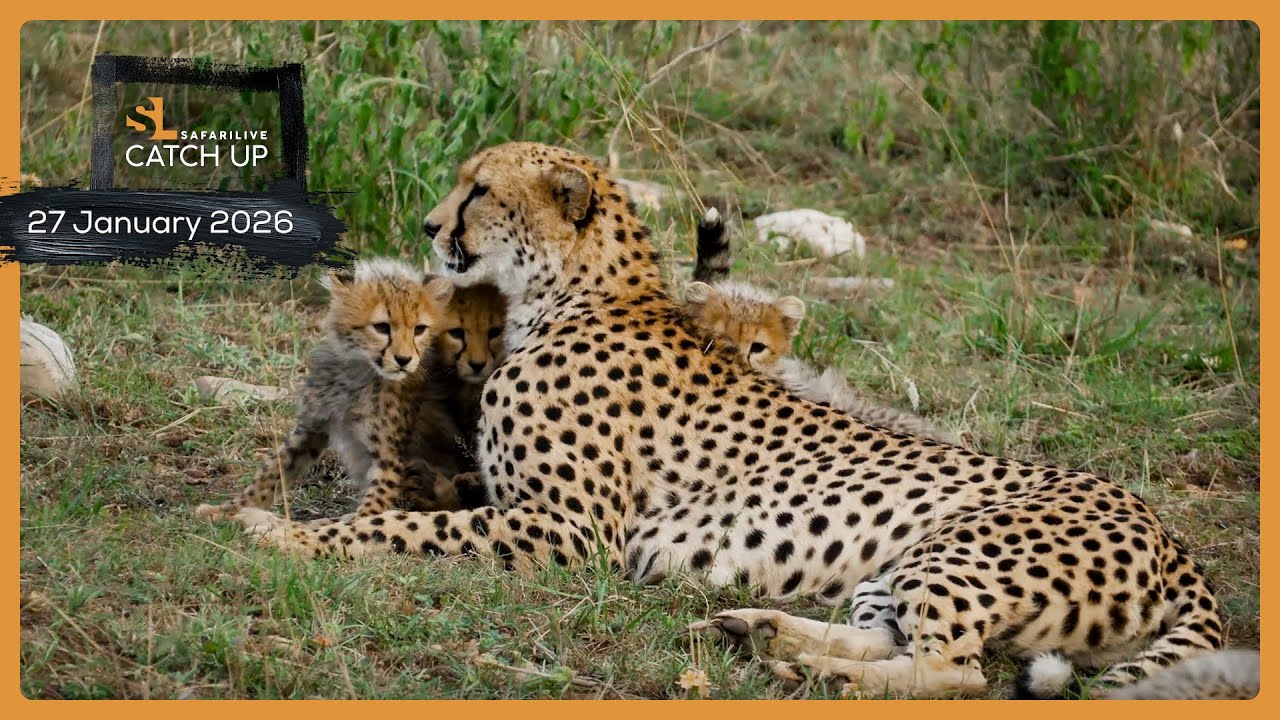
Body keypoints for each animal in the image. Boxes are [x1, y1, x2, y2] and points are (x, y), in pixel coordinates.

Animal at [196, 258, 469, 523]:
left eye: (419, 329)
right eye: (382, 327)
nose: (404, 360)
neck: (359, 370)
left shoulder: (389, 457)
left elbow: (374, 504)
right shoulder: (311, 427)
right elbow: (271, 472)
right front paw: (227, 510)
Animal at [230, 142, 1225, 699]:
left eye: (478, 190)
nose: (433, 228)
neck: (573, 295)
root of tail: (1167, 530)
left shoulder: (572, 531)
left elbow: (404, 528)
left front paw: (279, 533)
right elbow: (408, 511)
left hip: (961, 550)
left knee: (957, 670)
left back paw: (814, 669)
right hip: (898, 565)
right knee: (891, 634)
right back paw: (768, 635)